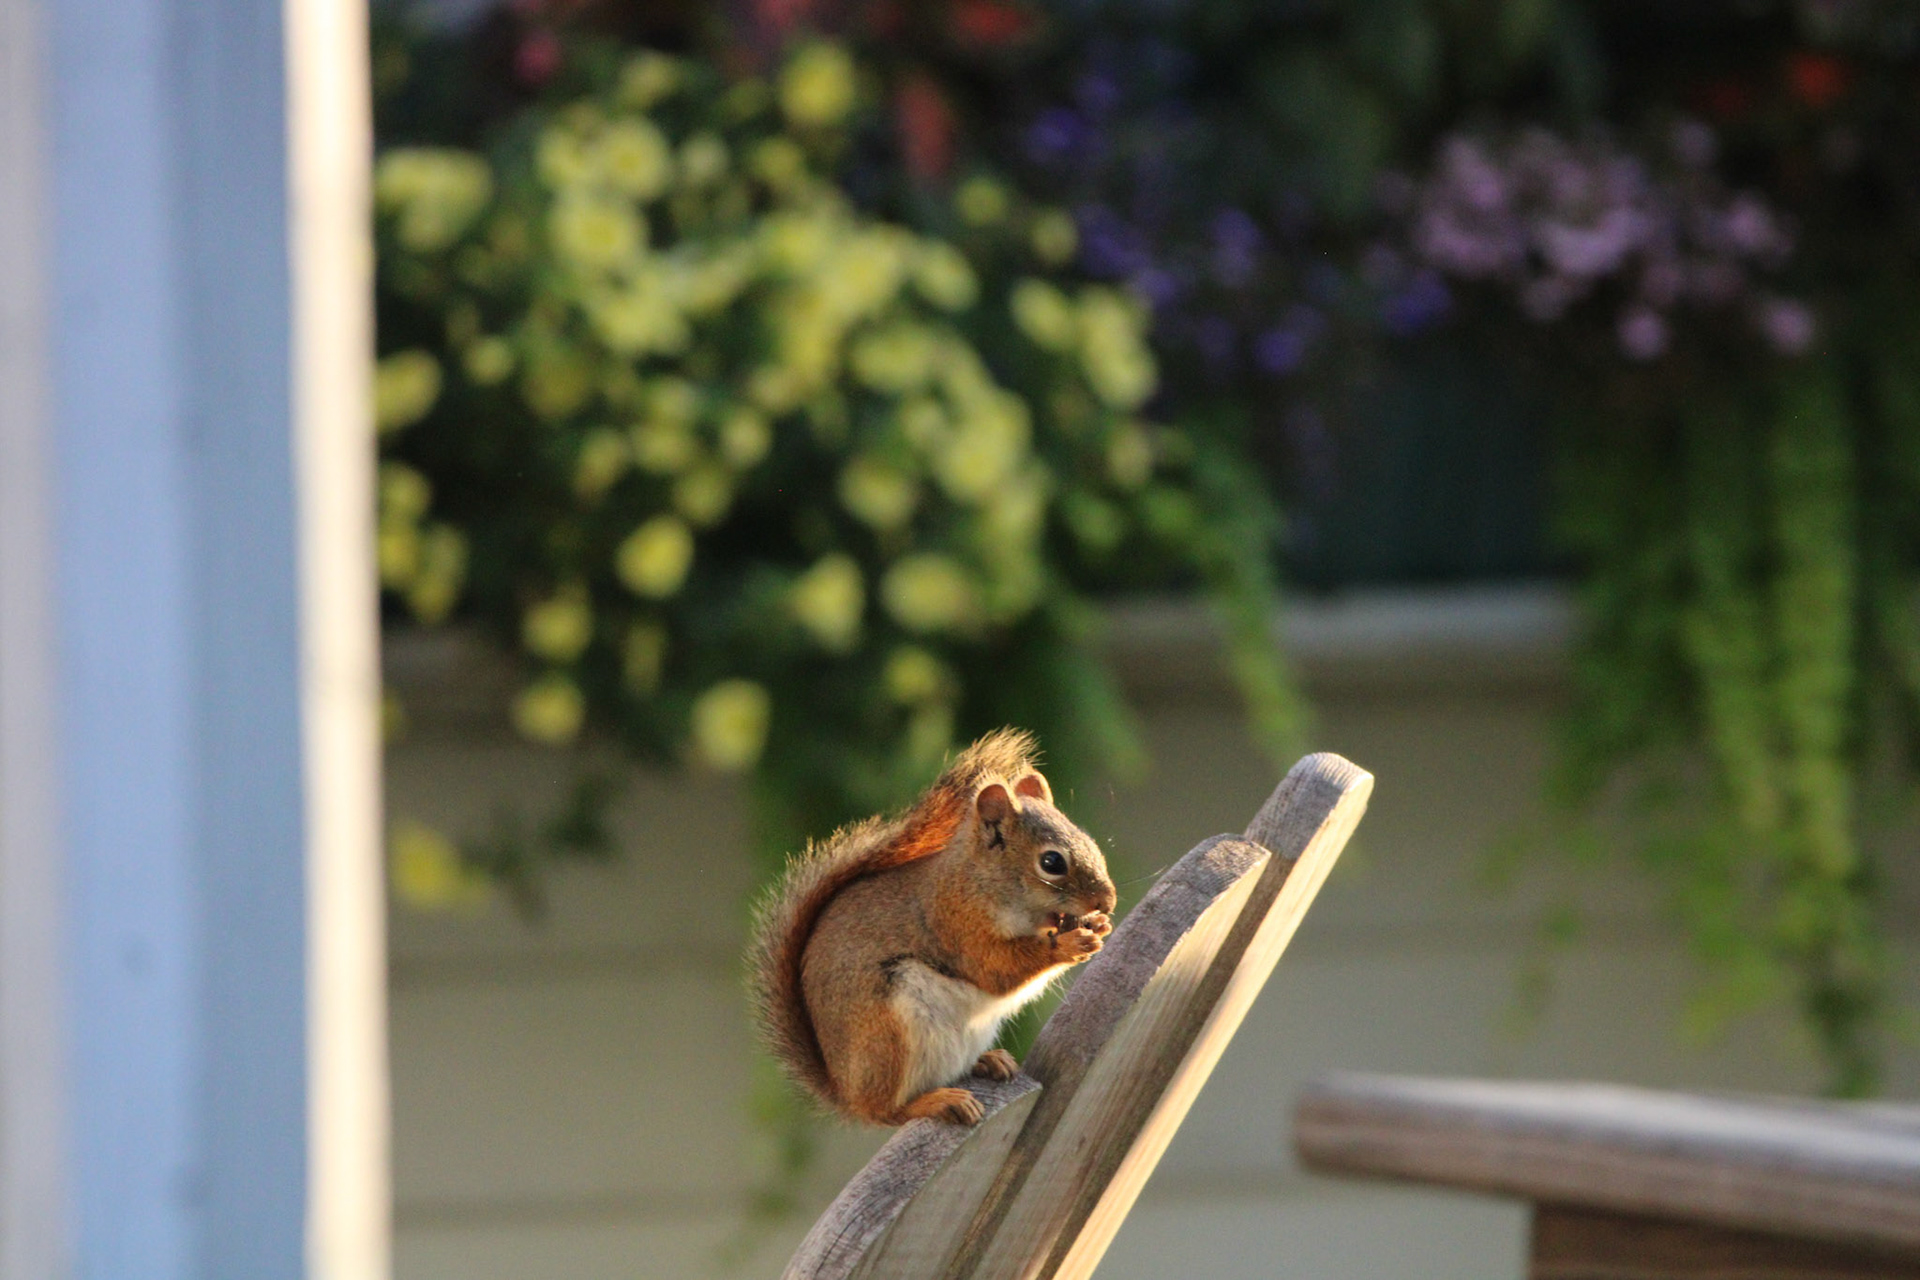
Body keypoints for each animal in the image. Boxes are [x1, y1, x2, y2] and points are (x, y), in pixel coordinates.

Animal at [747, 728, 1117, 1127]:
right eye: (1051, 862)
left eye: (1090, 842)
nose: (1108, 901)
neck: (980, 881)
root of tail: (845, 1091)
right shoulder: (956, 922)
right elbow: (997, 969)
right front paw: (1070, 944)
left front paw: (1097, 924)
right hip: (888, 1035)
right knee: (886, 1112)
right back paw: (939, 1103)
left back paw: (988, 1061)